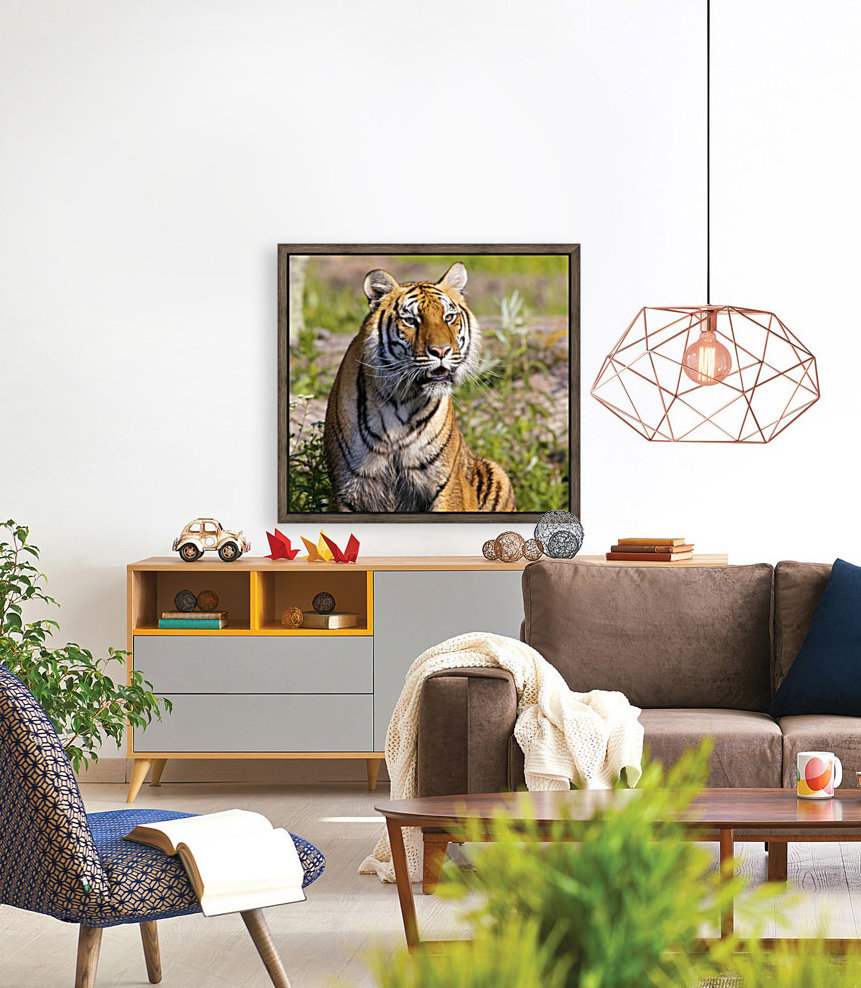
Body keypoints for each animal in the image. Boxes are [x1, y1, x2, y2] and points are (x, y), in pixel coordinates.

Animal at [323, 262, 516, 513]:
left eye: (449, 317)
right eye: (411, 320)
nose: (442, 351)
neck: (399, 400)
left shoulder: (445, 486)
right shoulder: (346, 491)